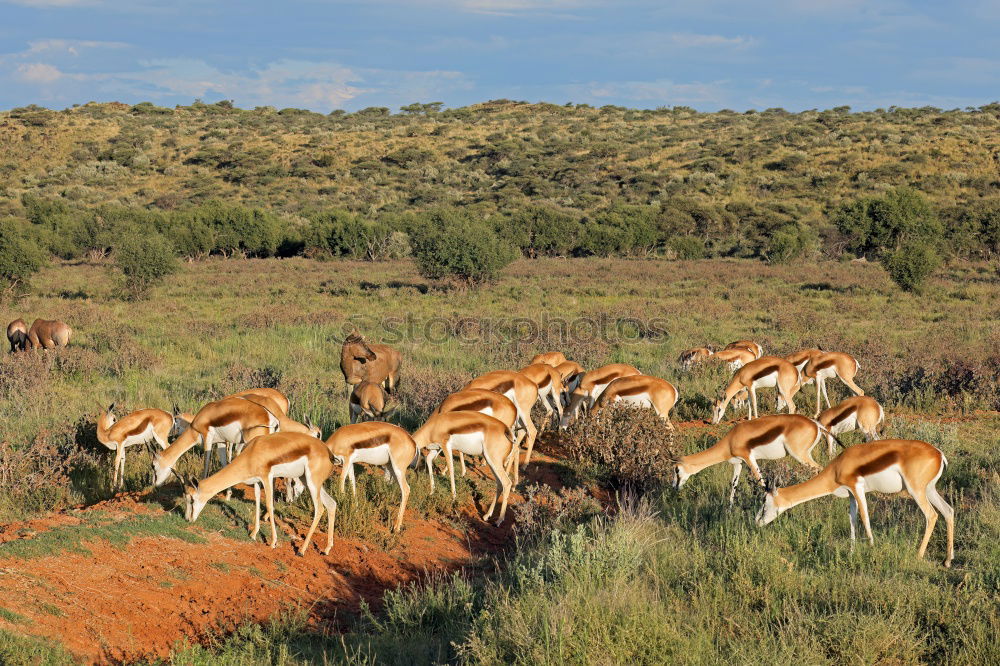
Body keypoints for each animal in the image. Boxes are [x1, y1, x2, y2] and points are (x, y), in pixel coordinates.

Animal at [187, 430, 340, 556]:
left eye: (192, 499)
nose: (188, 519)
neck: (252, 453)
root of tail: (328, 453)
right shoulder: (257, 481)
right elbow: (257, 502)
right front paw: (253, 534)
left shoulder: (267, 478)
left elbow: (269, 505)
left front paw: (273, 542)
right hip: (309, 481)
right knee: (331, 504)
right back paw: (326, 550)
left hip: (312, 483)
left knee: (319, 508)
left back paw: (301, 551)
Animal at [672, 412, 828, 500]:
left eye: (677, 469)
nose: (674, 486)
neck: (730, 440)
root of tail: (815, 424)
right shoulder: (738, 463)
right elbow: (733, 485)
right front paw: (729, 510)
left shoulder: (749, 458)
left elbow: (762, 482)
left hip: (799, 455)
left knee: (818, 469)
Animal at [756, 436, 952, 564]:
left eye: (764, 501)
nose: (757, 522)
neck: (838, 467)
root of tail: (939, 454)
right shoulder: (851, 494)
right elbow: (852, 519)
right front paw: (851, 552)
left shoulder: (857, 488)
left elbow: (865, 518)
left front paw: (871, 550)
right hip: (929, 490)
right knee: (948, 511)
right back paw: (948, 560)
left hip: (916, 491)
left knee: (932, 515)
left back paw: (918, 555)